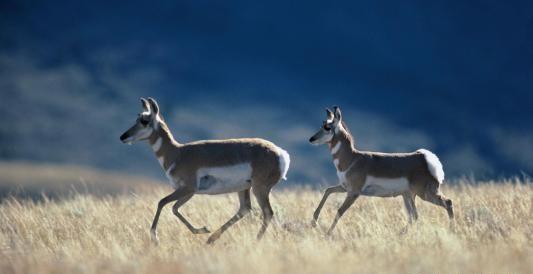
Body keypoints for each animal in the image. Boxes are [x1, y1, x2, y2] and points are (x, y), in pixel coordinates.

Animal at [119, 98, 288, 244]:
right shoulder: (189, 192)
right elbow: (174, 208)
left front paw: (155, 238)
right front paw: (203, 229)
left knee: (267, 213)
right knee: (245, 209)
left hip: (259, 188)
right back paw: (211, 239)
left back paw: (255, 241)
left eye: (144, 121)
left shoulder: (188, 189)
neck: (177, 153)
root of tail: (280, 152)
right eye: (137, 119)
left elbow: (162, 203)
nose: (123, 137)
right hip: (244, 188)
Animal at [308, 106, 454, 234]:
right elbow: (328, 191)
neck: (352, 158)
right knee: (414, 215)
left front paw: (328, 234)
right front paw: (313, 222)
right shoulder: (345, 187)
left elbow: (339, 211)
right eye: (322, 124)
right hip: (408, 195)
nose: (311, 139)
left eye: (327, 127)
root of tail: (423, 157)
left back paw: (452, 230)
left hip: (424, 193)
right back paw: (400, 234)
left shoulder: (354, 192)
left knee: (448, 202)